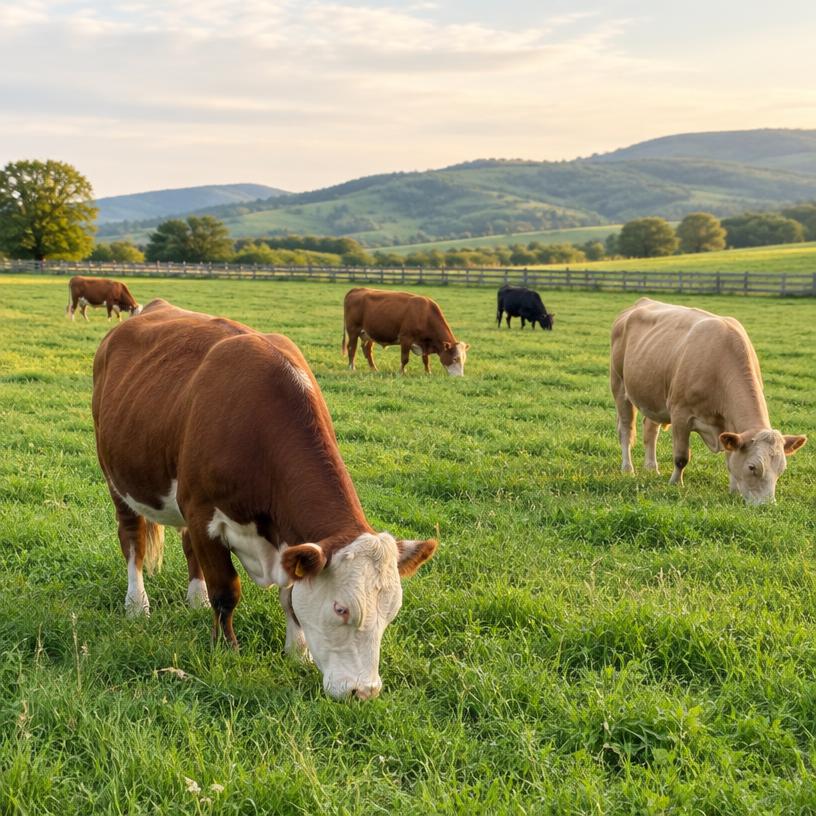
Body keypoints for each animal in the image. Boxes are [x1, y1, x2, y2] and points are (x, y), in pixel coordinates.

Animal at [92, 299, 437, 700]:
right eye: (341, 609)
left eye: (391, 612)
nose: (364, 691)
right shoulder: (203, 513)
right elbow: (226, 589)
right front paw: (226, 648)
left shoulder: (288, 539)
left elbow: (290, 598)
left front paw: (298, 653)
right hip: (117, 480)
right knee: (133, 541)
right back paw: (137, 604)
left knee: (186, 545)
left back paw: (196, 600)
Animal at [610, 298, 806, 503]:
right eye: (752, 467)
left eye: (781, 469)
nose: (766, 505)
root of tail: (641, 302)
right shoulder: (680, 414)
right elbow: (681, 457)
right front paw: (675, 483)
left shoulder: (729, 425)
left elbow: (730, 459)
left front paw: (734, 490)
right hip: (619, 385)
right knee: (626, 430)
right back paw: (628, 469)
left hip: (653, 395)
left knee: (650, 428)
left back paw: (651, 468)